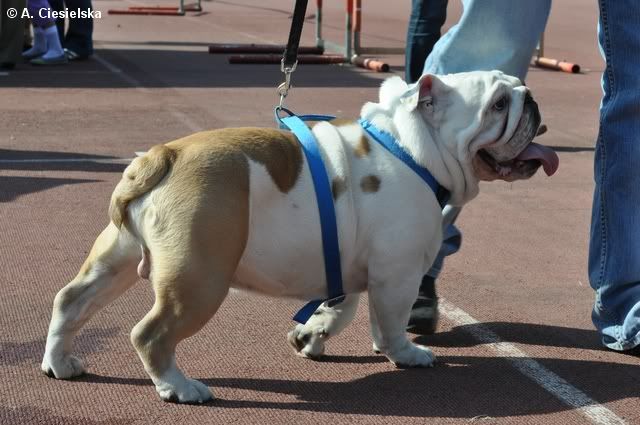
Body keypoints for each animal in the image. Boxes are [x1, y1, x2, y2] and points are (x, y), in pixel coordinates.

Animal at [41, 71, 559, 404]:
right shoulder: (398, 272)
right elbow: (389, 321)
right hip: (198, 279)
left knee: (72, 300)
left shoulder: (351, 264)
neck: (412, 146)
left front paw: (312, 335)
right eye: (498, 104)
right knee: (151, 333)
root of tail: (163, 155)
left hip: (117, 258)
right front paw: (404, 354)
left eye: (518, 90)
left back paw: (60, 363)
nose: (531, 97)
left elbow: (342, 307)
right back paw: (179, 388)